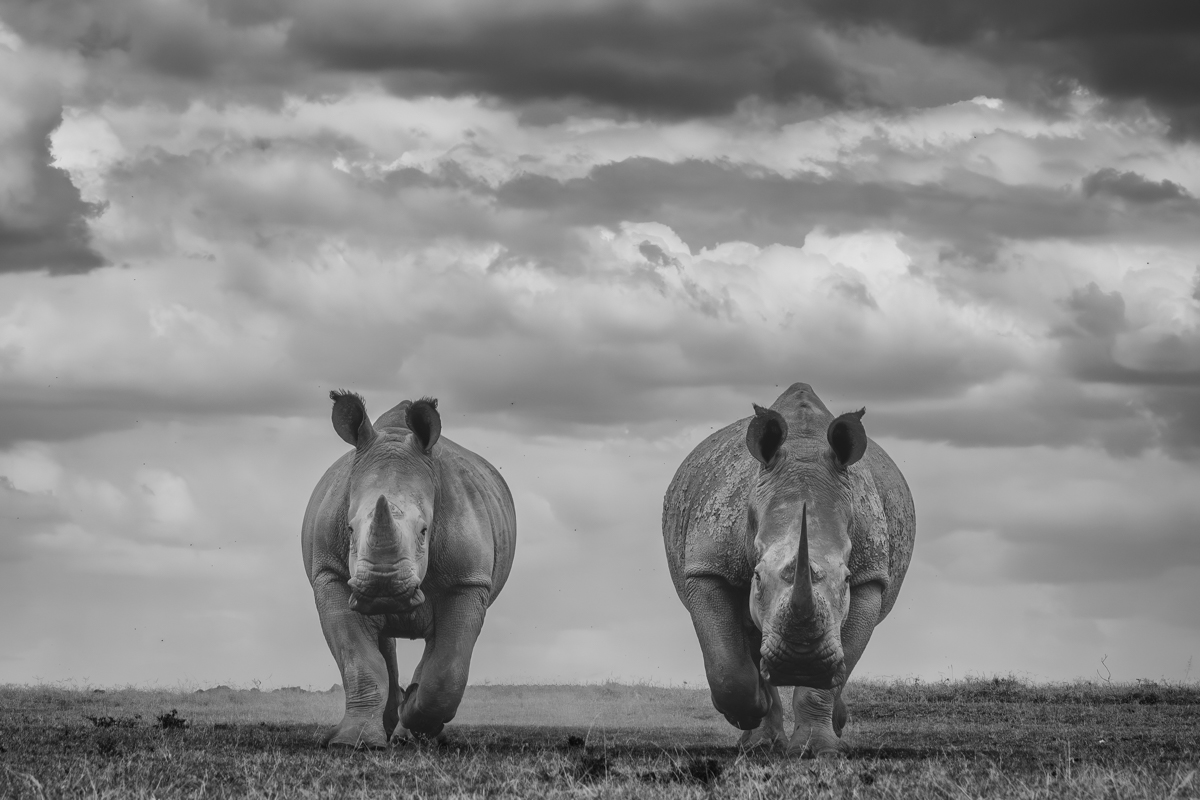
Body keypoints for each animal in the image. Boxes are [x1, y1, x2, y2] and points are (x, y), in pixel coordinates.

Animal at [302, 391, 516, 748]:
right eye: (349, 529)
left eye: (425, 531)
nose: (383, 588)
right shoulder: (330, 574)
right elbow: (359, 661)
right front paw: (354, 741)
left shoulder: (468, 581)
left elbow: (448, 668)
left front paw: (414, 715)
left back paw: (408, 728)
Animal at [663, 382, 915, 756]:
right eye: (757, 576)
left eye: (846, 579)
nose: (801, 663)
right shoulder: (707, 567)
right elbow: (726, 664)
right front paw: (749, 711)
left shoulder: (870, 578)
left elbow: (835, 671)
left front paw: (816, 749)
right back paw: (759, 742)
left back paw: (830, 723)